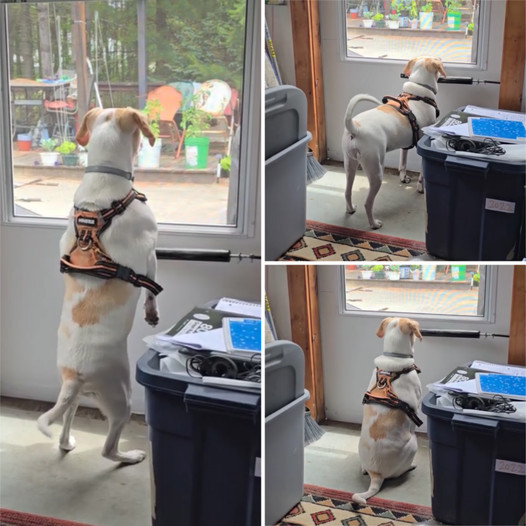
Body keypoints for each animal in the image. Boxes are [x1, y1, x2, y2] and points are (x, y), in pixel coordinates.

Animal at [37, 108, 163, 466]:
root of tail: (73, 376)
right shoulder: (150, 253)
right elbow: (152, 288)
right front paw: (152, 312)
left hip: (79, 397)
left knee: (65, 422)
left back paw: (68, 444)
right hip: (122, 396)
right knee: (108, 448)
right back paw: (130, 456)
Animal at [342, 56, 450, 228]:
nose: (441, 58)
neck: (418, 91)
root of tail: (355, 128)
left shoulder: (405, 145)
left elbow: (403, 163)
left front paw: (404, 178)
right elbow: (422, 174)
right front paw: (420, 187)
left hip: (350, 164)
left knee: (347, 191)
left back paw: (351, 209)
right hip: (375, 171)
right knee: (368, 203)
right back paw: (374, 223)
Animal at [352, 318, 426, 508]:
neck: (394, 356)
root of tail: (376, 474)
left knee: (364, 468)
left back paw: (364, 469)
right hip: (413, 443)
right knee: (400, 471)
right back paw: (410, 467)